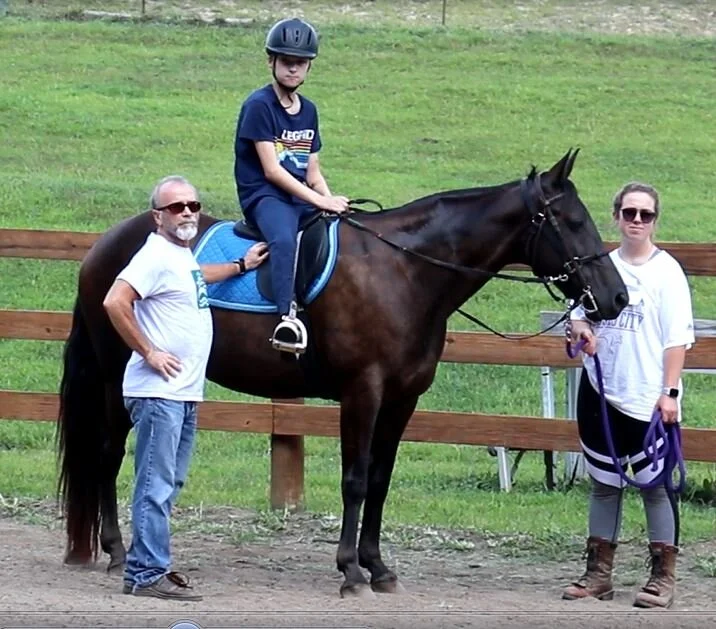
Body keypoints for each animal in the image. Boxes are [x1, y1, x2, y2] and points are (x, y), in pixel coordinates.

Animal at [56, 149, 628, 598]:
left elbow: (379, 480)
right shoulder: (362, 393)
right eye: (571, 221)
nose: (616, 297)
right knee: (107, 456)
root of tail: (105, 246)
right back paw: (116, 551)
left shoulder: (402, 400)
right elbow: (354, 480)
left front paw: (378, 567)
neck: (404, 270)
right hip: (116, 378)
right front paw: (351, 570)